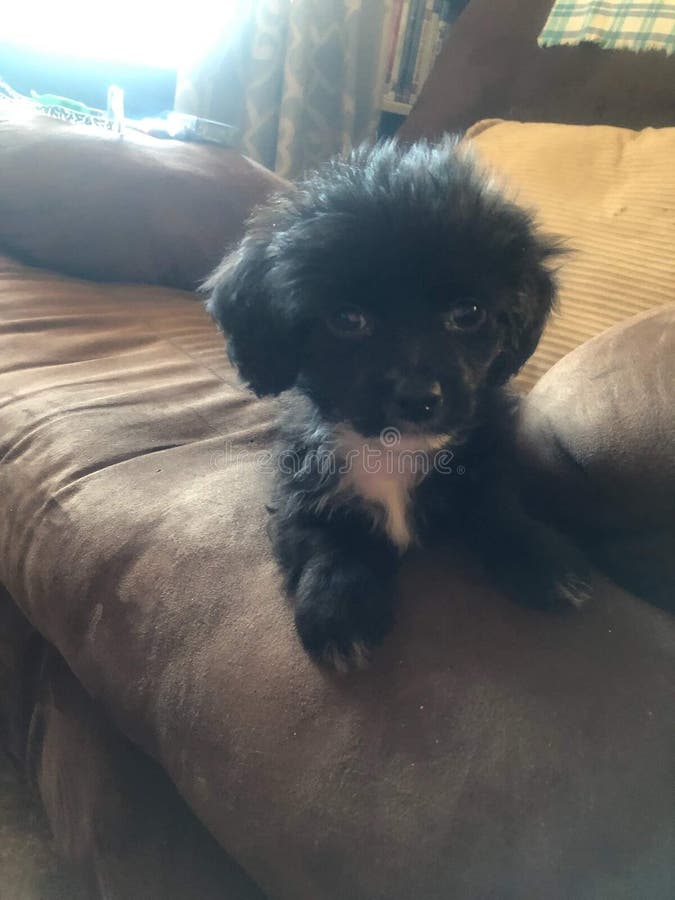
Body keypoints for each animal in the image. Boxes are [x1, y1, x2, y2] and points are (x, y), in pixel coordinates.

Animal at [207, 141, 592, 672]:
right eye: (347, 318)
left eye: (468, 313)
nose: (418, 398)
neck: (394, 448)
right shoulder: (299, 489)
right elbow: (327, 541)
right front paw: (338, 608)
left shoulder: (488, 464)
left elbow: (497, 506)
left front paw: (540, 558)